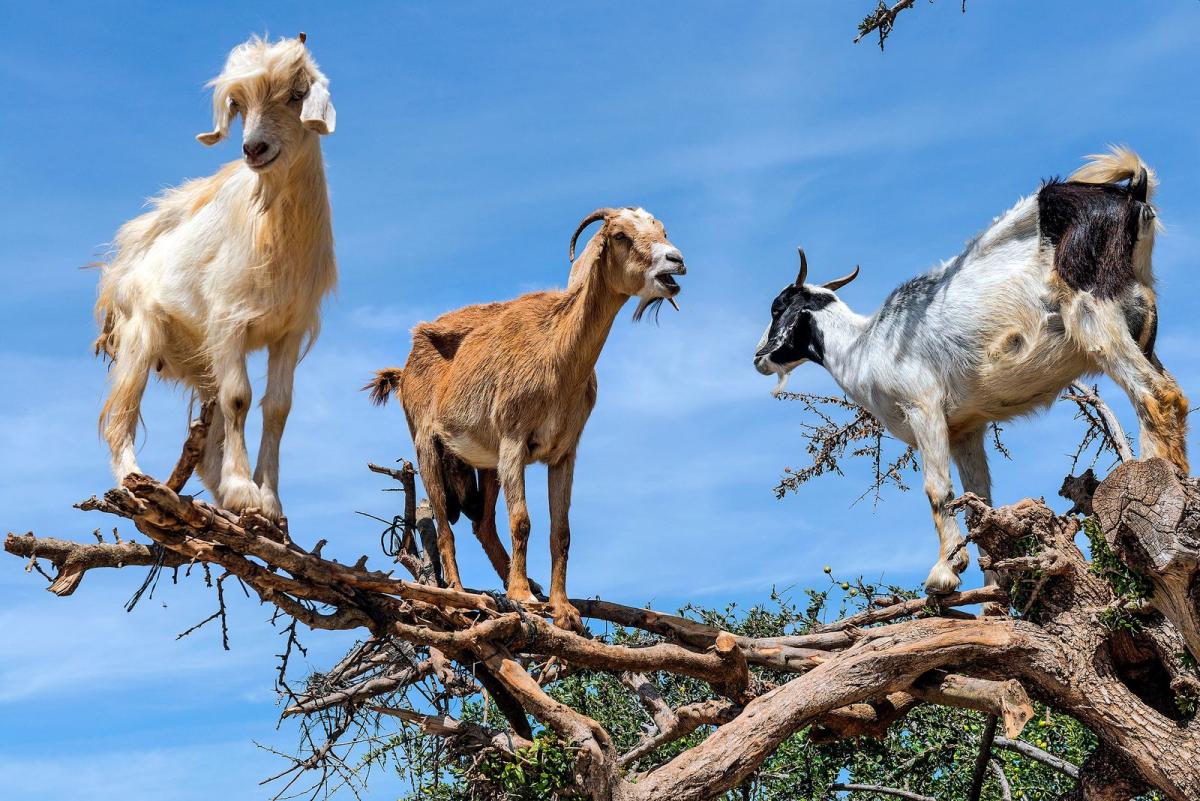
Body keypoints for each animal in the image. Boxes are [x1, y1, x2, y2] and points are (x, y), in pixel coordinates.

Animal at [94, 34, 337, 520]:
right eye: (238, 104)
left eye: (296, 95)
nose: (254, 149)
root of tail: (119, 267)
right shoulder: (229, 322)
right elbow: (239, 397)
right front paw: (245, 490)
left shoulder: (290, 329)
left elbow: (277, 408)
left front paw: (269, 502)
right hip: (140, 336)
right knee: (120, 417)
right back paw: (135, 483)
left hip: (200, 356)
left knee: (206, 447)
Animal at [366, 207, 686, 629]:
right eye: (619, 235)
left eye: (662, 230)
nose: (675, 261)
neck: (556, 354)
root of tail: (403, 369)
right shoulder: (514, 441)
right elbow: (522, 520)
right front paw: (522, 596)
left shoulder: (564, 453)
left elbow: (561, 531)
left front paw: (562, 608)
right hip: (427, 448)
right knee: (444, 527)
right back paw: (459, 595)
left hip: (485, 463)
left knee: (482, 524)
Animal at [754, 147, 1188, 594]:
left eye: (776, 308)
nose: (759, 357)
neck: (865, 344)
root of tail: (1132, 195)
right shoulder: (966, 427)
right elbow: (978, 502)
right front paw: (994, 590)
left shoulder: (922, 405)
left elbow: (936, 489)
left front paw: (944, 573)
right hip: (1141, 323)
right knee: (1169, 394)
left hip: (1094, 311)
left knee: (1156, 394)